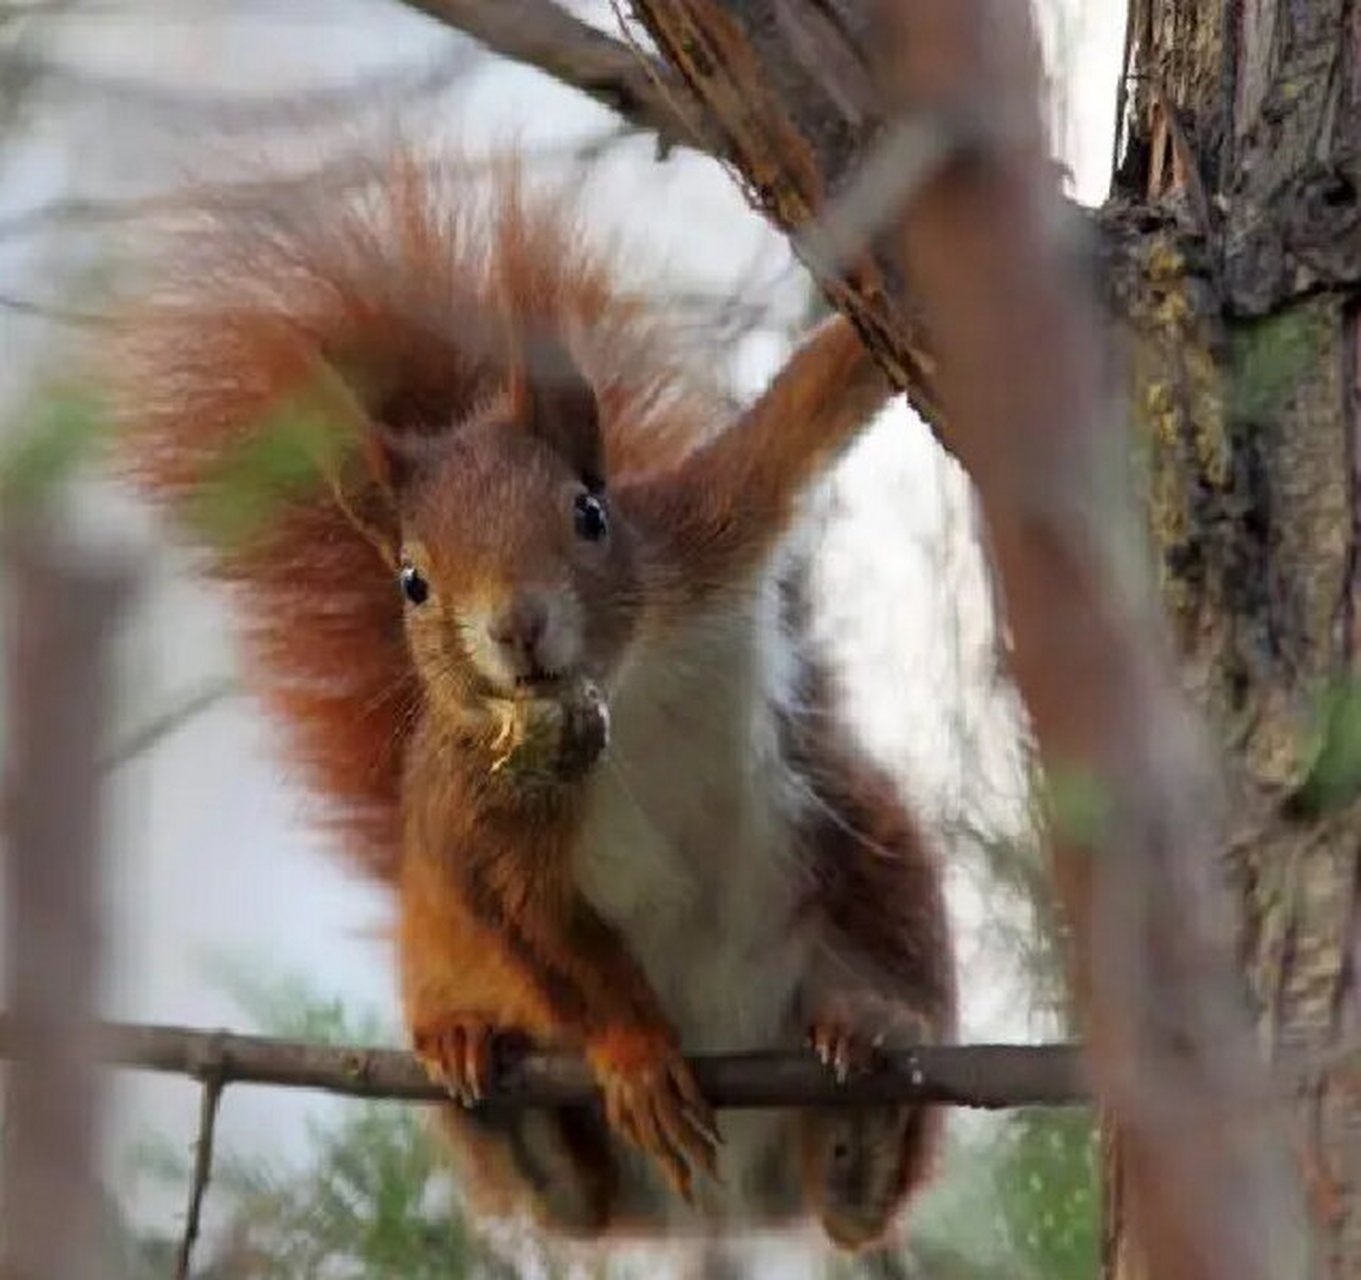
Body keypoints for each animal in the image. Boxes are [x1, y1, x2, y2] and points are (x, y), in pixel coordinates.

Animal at [106, 157, 958, 1247]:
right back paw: (509, 1107)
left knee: (856, 1196)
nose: (516, 628)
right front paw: (635, 1055)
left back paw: (863, 1084)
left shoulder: (711, 523)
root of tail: (719, 1210)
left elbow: (816, 395)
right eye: (412, 581)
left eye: (589, 512)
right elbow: (544, 939)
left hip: (863, 849)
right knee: (574, 1203)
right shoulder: (477, 823)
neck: (618, 691)